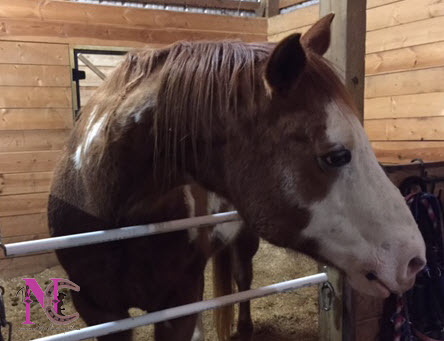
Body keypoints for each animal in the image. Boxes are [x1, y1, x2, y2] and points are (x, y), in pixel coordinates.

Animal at [48, 14, 426, 340]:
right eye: (336, 156)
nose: (414, 260)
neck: (112, 208)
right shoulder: (99, 312)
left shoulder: (178, 305)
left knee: (243, 280)